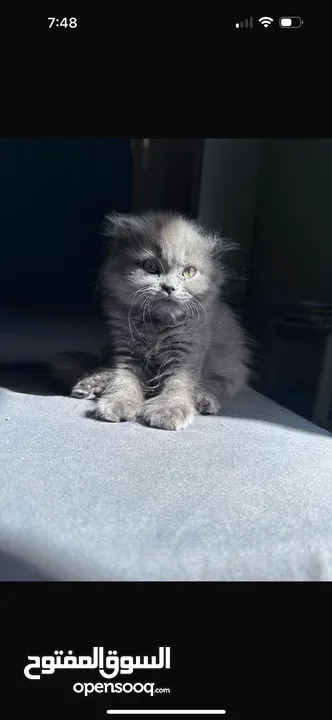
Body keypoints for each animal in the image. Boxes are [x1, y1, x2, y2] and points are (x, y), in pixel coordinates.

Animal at [70, 211, 252, 430]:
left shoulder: (186, 352)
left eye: (189, 272)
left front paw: (169, 410)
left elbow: (178, 383)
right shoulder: (126, 349)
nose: (169, 287)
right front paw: (119, 402)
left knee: (217, 383)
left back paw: (203, 399)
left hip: (229, 362)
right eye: (150, 267)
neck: (157, 325)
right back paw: (90, 384)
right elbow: (124, 378)